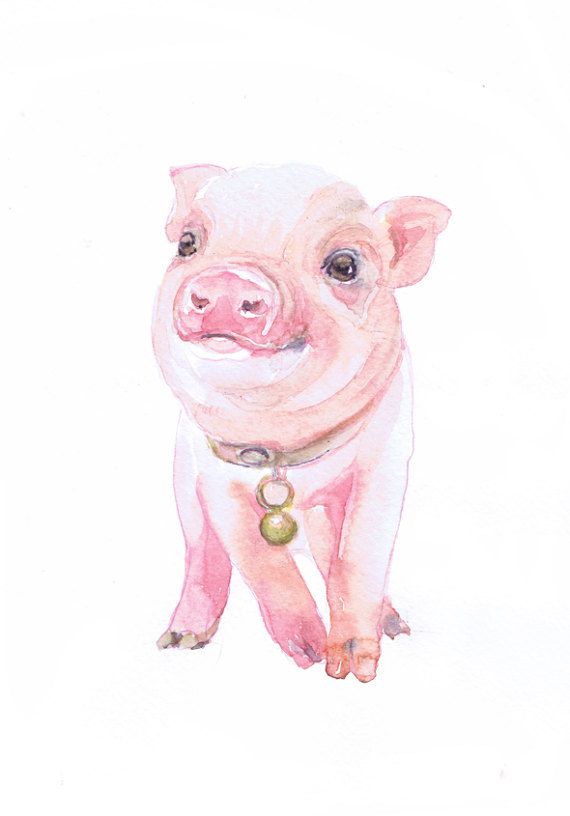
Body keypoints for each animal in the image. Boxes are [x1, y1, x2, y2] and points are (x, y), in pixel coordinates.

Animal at [152, 164, 450, 682]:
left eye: (345, 266)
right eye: (187, 243)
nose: (231, 278)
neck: (286, 446)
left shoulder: (387, 460)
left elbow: (360, 555)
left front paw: (351, 669)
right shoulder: (213, 473)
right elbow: (259, 560)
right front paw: (309, 655)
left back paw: (394, 626)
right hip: (182, 484)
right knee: (201, 551)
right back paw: (180, 640)